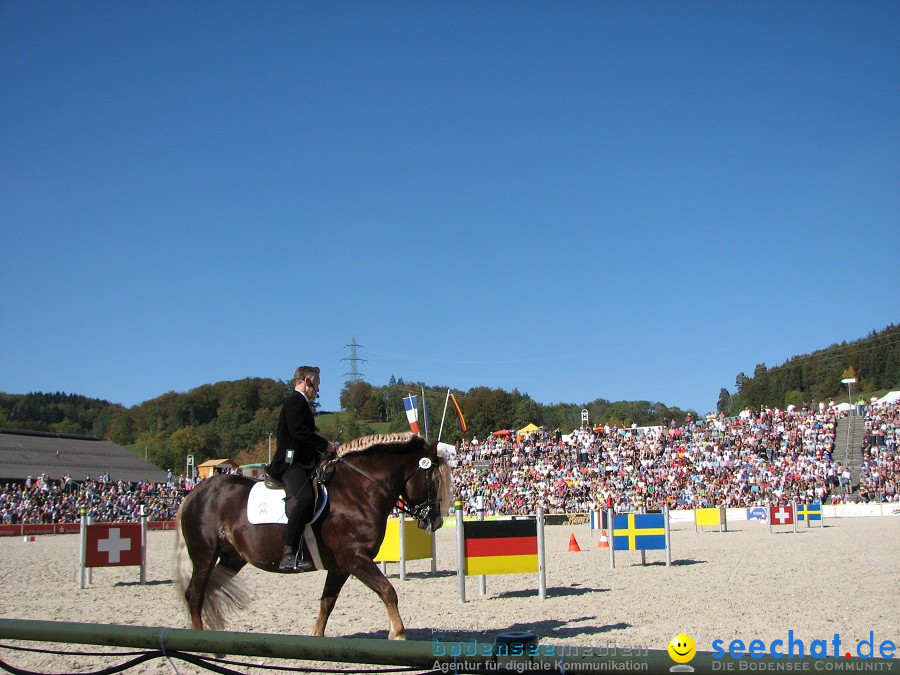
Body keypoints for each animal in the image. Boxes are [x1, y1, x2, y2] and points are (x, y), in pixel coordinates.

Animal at [175, 434, 454, 640]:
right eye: (434, 479)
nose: (436, 521)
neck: (359, 490)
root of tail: (193, 493)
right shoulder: (356, 559)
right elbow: (388, 590)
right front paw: (398, 633)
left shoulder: (341, 566)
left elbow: (327, 601)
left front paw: (316, 636)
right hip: (205, 553)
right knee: (195, 594)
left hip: (232, 558)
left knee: (207, 591)